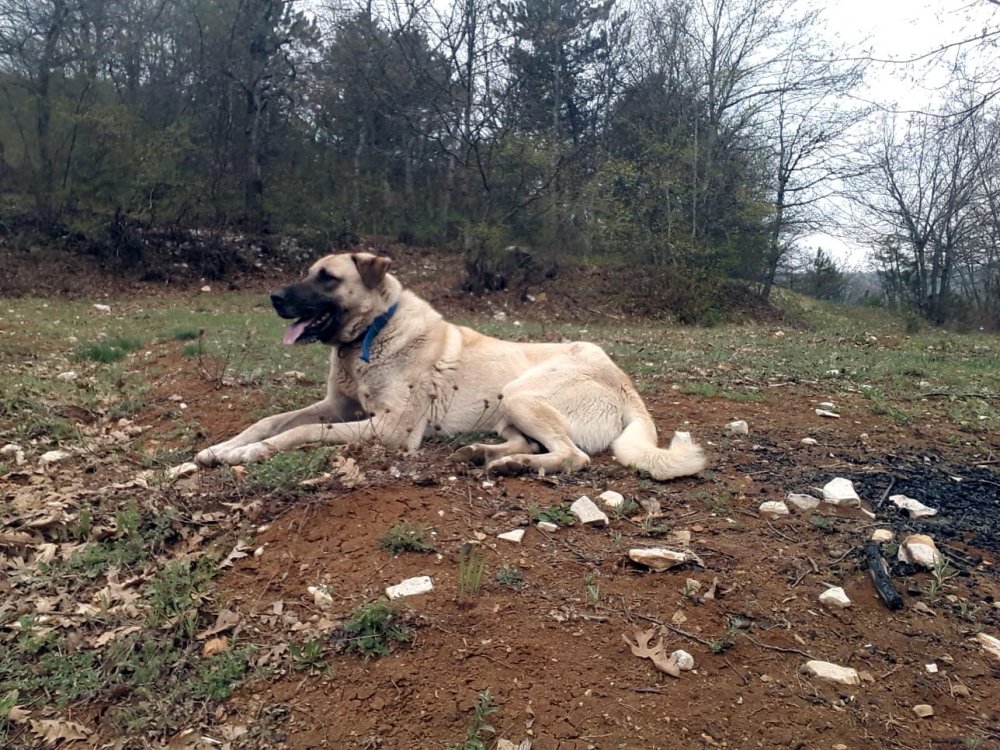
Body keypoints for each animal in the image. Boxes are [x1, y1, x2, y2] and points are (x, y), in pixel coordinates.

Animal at [195, 250, 708, 478]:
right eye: (308, 273)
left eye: (327, 278)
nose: (274, 296)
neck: (372, 333)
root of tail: (623, 380)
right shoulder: (339, 407)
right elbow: (271, 421)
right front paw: (223, 448)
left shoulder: (389, 429)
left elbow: (299, 432)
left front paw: (247, 454)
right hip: (507, 408)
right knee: (531, 442)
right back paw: (483, 453)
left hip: (523, 393)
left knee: (572, 456)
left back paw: (511, 466)